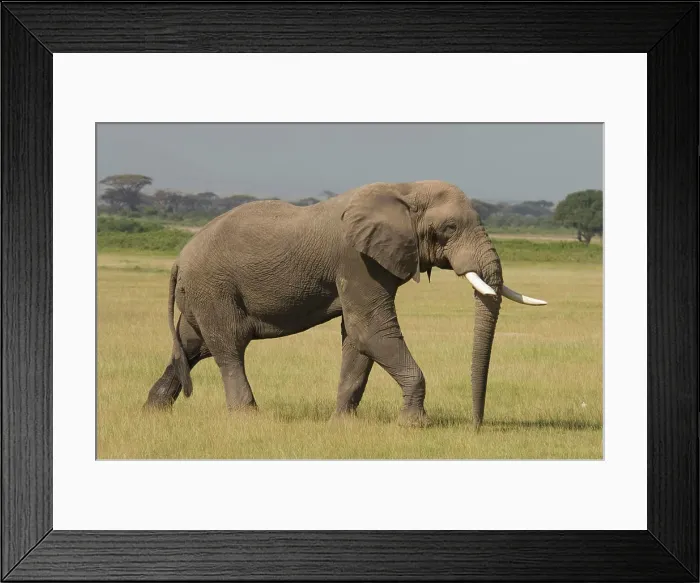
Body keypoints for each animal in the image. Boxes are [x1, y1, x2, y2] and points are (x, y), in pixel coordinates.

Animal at [144, 180, 546, 428]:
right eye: (449, 228)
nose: (476, 426)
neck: (404, 189)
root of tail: (179, 259)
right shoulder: (357, 259)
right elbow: (370, 329)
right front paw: (413, 425)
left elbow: (357, 338)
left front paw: (342, 423)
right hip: (214, 288)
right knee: (228, 347)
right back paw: (246, 417)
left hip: (202, 293)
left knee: (192, 346)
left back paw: (153, 411)